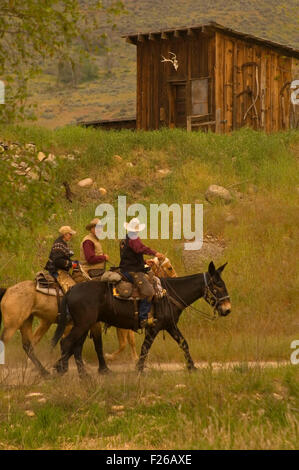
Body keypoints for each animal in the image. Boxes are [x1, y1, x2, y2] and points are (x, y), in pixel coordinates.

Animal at [52, 262, 232, 376]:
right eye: (218, 285)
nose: (227, 309)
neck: (170, 295)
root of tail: (71, 290)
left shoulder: (170, 325)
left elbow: (183, 343)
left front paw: (192, 367)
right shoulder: (154, 328)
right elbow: (145, 348)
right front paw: (138, 369)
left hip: (84, 325)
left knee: (75, 347)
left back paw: (76, 372)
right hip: (83, 324)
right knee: (67, 343)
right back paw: (64, 370)